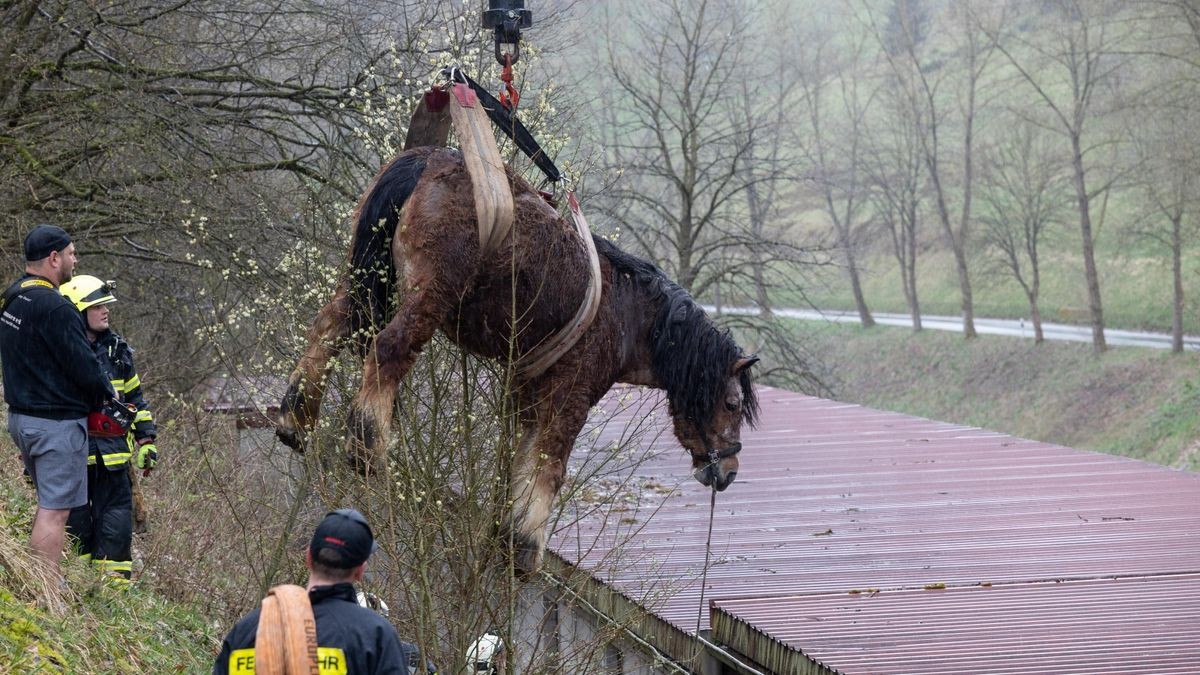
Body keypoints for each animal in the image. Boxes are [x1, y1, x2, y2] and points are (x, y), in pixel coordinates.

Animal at [276, 144, 753, 569]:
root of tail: (427, 159)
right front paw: (527, 545)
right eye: (731, 404)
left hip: (363, 280)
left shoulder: (529, 399)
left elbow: (523, 461)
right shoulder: (571, 397)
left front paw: (508, 535)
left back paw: (296, 416)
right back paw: (366, 446)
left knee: (328, 327)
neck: (626, 312)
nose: (729, 469)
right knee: (387, 350)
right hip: (429, 297)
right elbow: (550, 467)